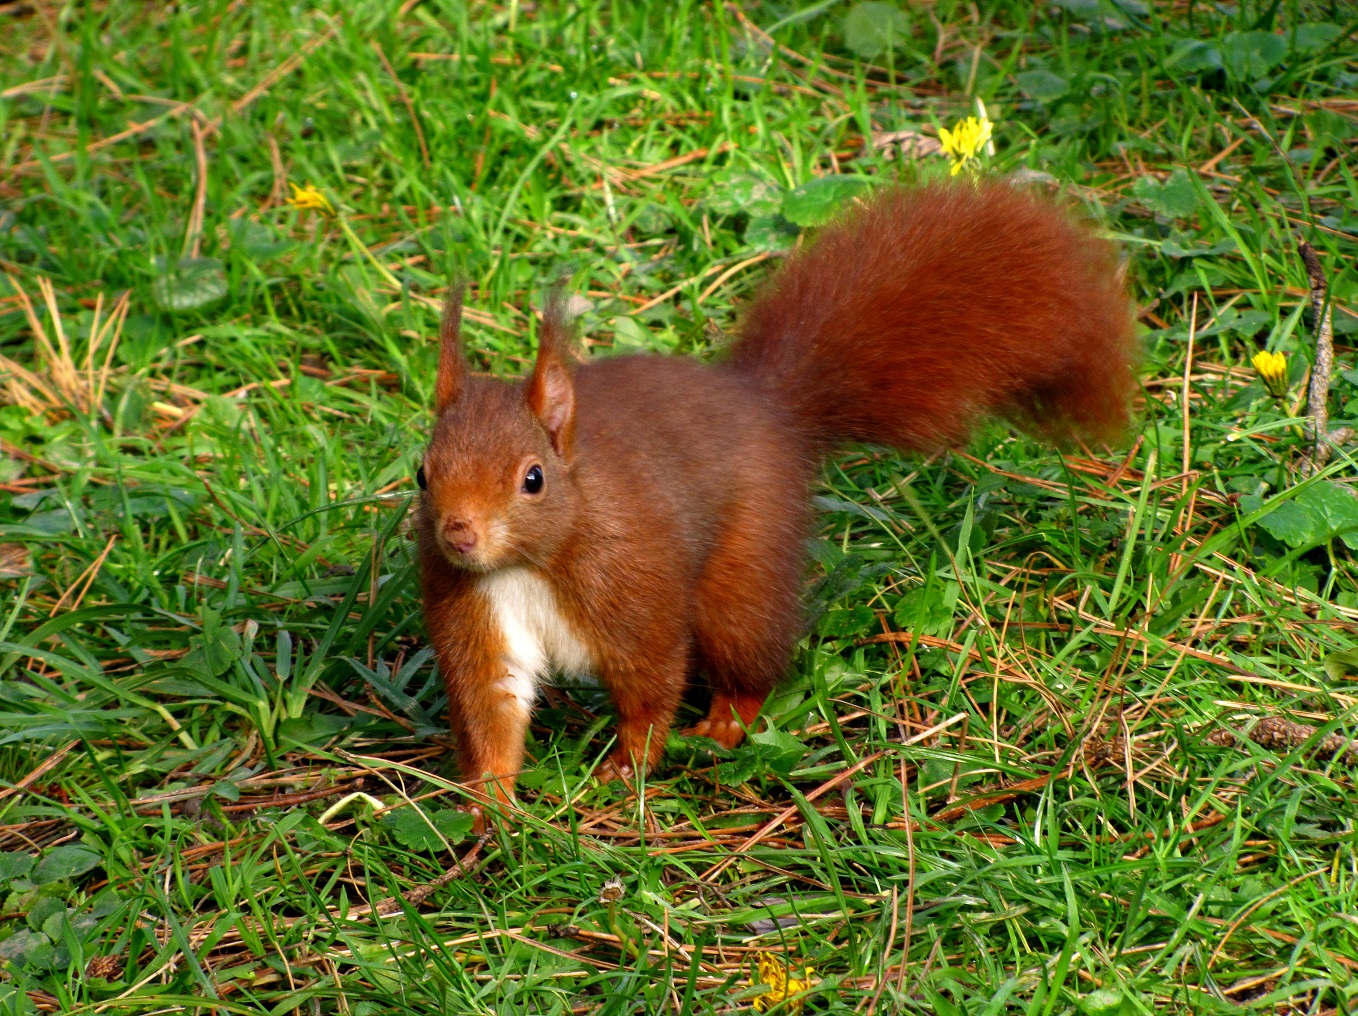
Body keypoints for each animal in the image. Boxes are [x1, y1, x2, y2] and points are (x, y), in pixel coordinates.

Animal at [412, 180, 1135, 804]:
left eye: (533, 479)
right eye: (423, 473)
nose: (459, 533)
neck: (529, 564)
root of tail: (766, 407)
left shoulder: (634, 588)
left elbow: (651, 684)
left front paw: (627, 766)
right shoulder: (476, 616)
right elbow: (491, 707)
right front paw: (491, 805)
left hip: (744, 573)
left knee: (749, 654)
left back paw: (726, 722)